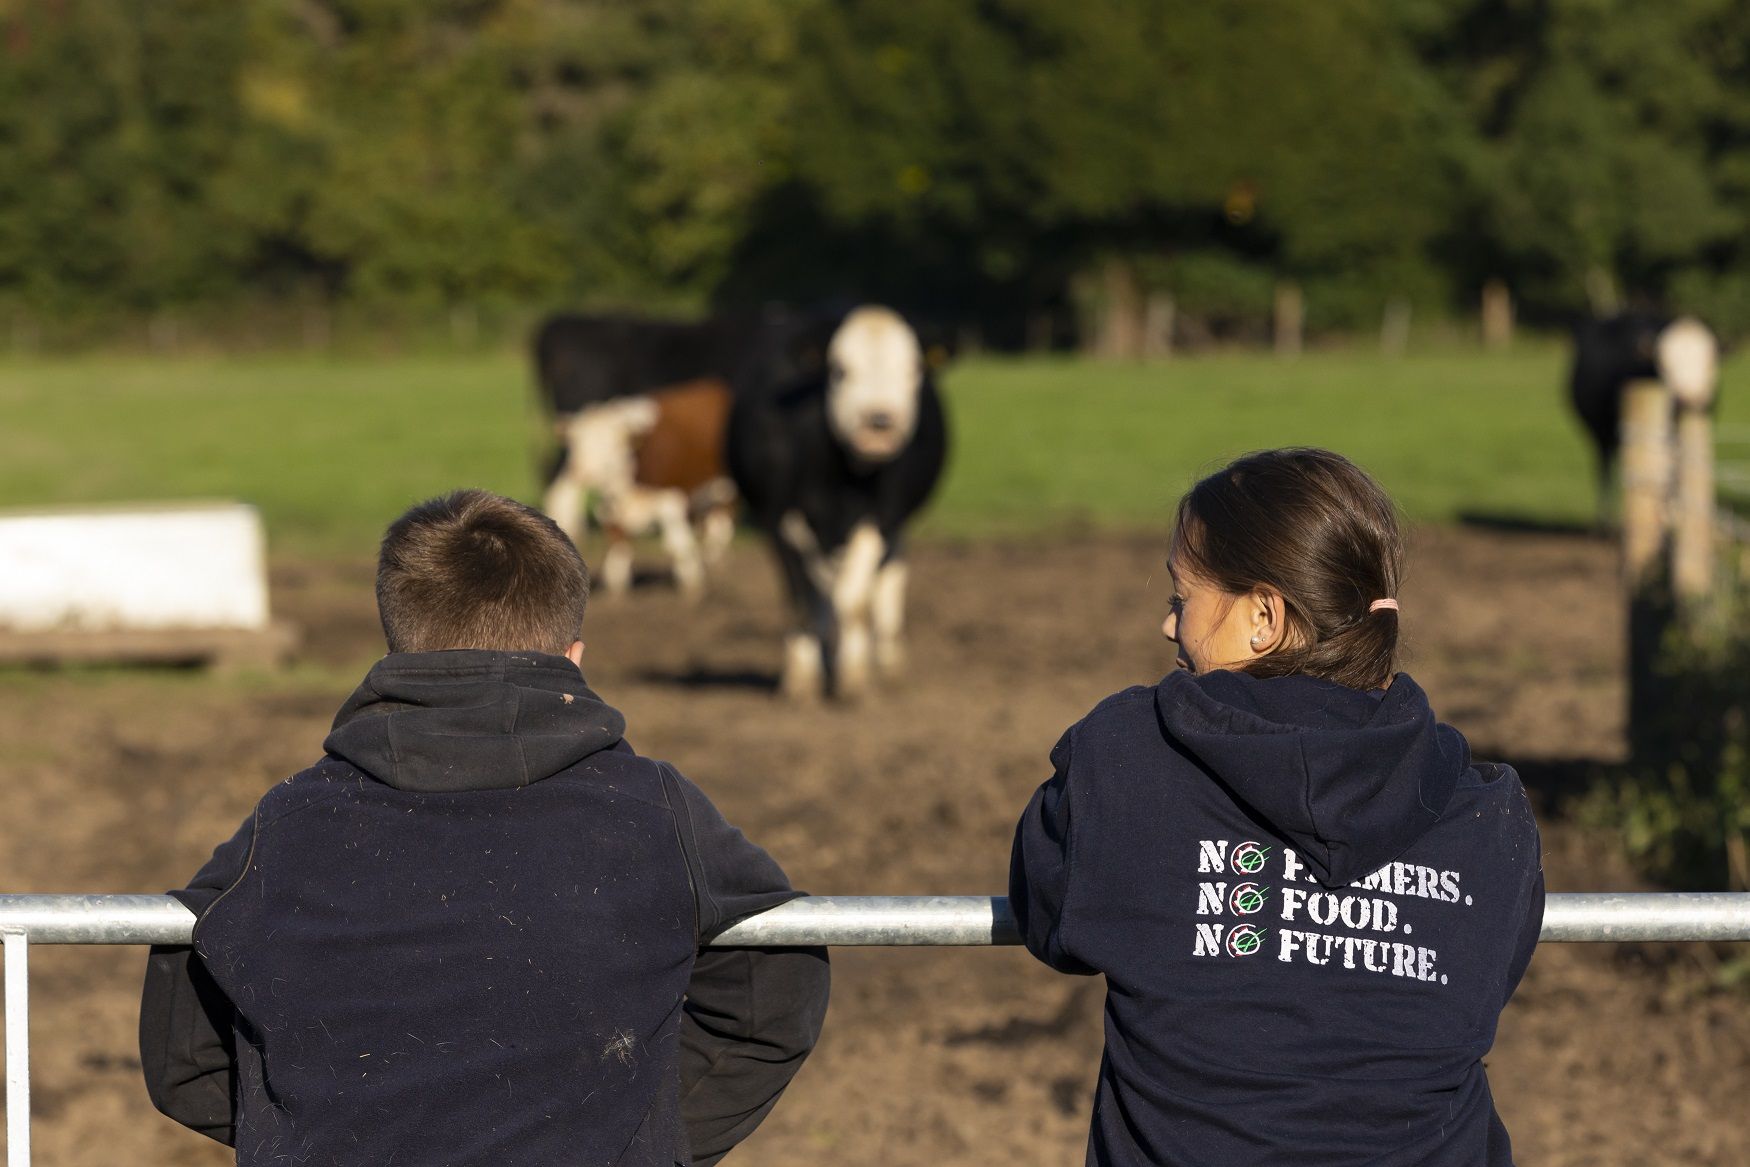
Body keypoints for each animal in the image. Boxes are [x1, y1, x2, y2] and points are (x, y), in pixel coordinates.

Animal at [546, 381, 738, 601]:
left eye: (613, 445)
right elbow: (618, 542)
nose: (582, 472)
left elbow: (679, 544)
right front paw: (617, 591)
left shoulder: (670, 500)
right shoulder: (609, 508)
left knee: (722, 522)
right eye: (576, 443)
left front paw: (692, 587)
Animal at [724, 306, 952, 699]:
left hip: (896, 525)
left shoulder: (881, 515)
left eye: (913, 369)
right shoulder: (778, 515)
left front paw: (853, 679)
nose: (880, 422)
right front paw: (801, 678)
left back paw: (886, 662)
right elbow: (803, 596)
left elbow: (855, 600)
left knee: (884, 578)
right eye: (840, 370)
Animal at [1575, 314, 1722, 524]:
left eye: (1711, 357)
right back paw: (1605, 517)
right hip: (1601, 431)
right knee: (1605, 464)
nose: (1690, 397)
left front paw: (1674, 511)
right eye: (1663, 364)